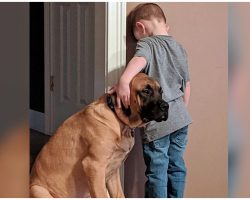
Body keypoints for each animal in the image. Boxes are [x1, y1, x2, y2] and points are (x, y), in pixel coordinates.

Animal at [30, 72, 169, 198]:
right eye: (146, 91)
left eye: (161, 91)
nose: (166, 106)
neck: (118, 119)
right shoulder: (94, 166)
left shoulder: (113, 171)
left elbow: (119, 195)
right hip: (38, 190)